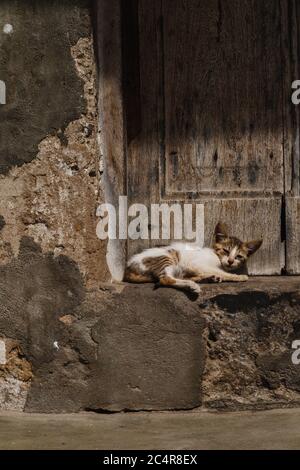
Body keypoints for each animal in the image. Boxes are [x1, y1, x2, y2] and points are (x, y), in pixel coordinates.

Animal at [123, 223, 262, 294]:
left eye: (239, 256)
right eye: (226, 250)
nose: (230, 261)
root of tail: (128, 267)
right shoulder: (196, 264)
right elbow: (223, 272)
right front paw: (240, 276)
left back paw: (209, 279)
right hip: (167, 258)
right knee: (165, 279)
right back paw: (192, 285)